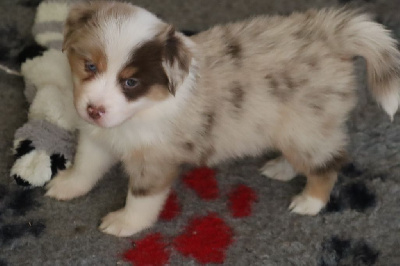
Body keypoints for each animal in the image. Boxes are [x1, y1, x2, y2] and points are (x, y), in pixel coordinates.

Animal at [45, 2, 400, 237]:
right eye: (90, 66)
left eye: (131, 82)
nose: (94, 110)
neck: (142, 110)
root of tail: (330, 37)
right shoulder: (98, 137)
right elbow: (86, 166)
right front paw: (66, 186)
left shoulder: (154, 161)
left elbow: (142, 198)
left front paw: (124, 223)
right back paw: (282, 168)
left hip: (306, 126)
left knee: (329, 162)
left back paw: (310, 201)